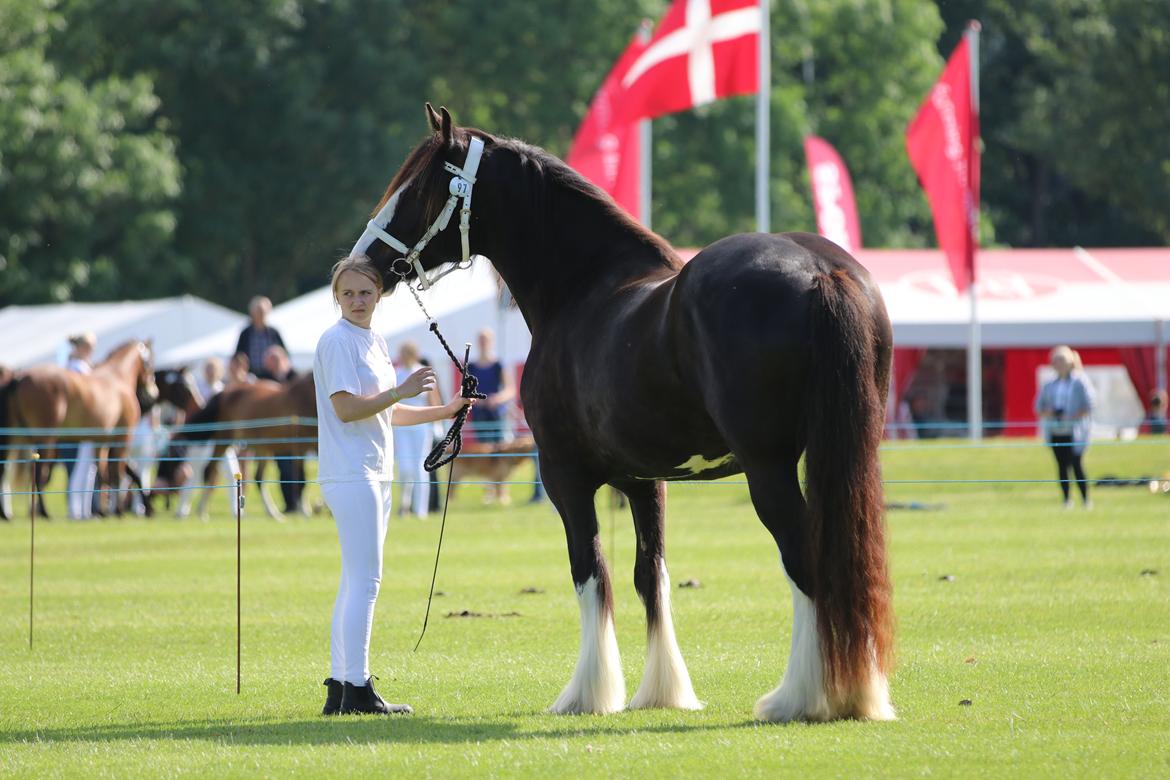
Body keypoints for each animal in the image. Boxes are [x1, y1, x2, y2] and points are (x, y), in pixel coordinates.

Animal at [0, 341, 157, 519]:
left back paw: (7, 514)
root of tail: (20, 377)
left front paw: (103, 511)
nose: (153, 393)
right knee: (39, 474)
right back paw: (45, 512)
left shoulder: (100, 442)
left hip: (16, 438)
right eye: (150, 361)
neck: (117, 378)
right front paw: (118, 510)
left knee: (4, 470)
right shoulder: (123, 437)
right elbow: (118, 474)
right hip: (45, 440)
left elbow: (103, 475)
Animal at [157, 371, 320, 519]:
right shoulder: (301, 447)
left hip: (262, 448)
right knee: (211, 470)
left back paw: (273, 513)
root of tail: (223, 393)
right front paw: (305, 511)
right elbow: (302, 478)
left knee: (258, 478)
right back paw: (202, 510)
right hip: (224, 441)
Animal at [351, 107, 889, 725]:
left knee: (803, 557)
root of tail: (822, 271)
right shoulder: (644, 481)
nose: (365, 264)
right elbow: (649, 575)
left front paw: (588, 692)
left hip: (768, 466)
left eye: (419, 187)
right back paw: (859, 690)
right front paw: (663, 691)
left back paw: (799, 696)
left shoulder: (566, 476)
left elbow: (591, 572)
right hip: (845, 455)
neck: (585, 290)